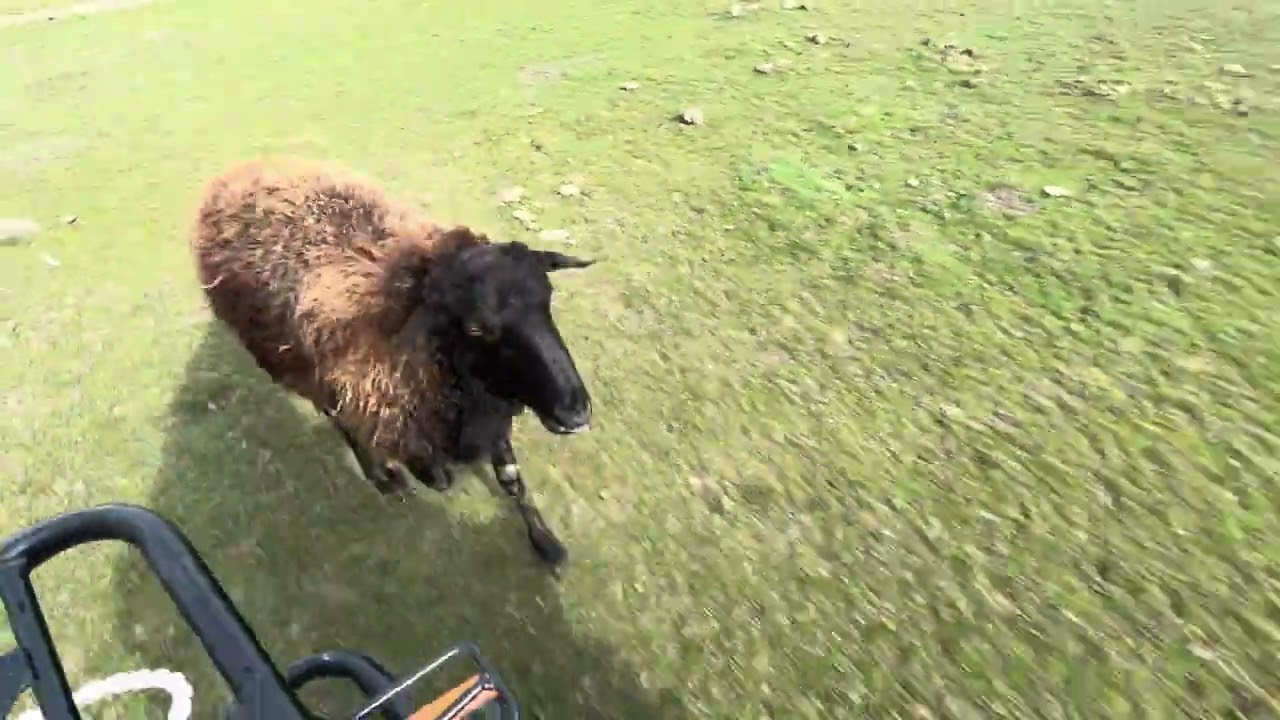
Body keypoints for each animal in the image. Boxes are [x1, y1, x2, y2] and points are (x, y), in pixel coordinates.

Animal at [189, 158, 596, 567]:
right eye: (476, 328)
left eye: (547, 298)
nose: (575, 412)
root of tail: (234, 175)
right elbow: (440, 474)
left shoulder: (487, 413)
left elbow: (511, 479)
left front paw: (545, 540)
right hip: (297, 367)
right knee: (338, 419)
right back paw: (382, 476)